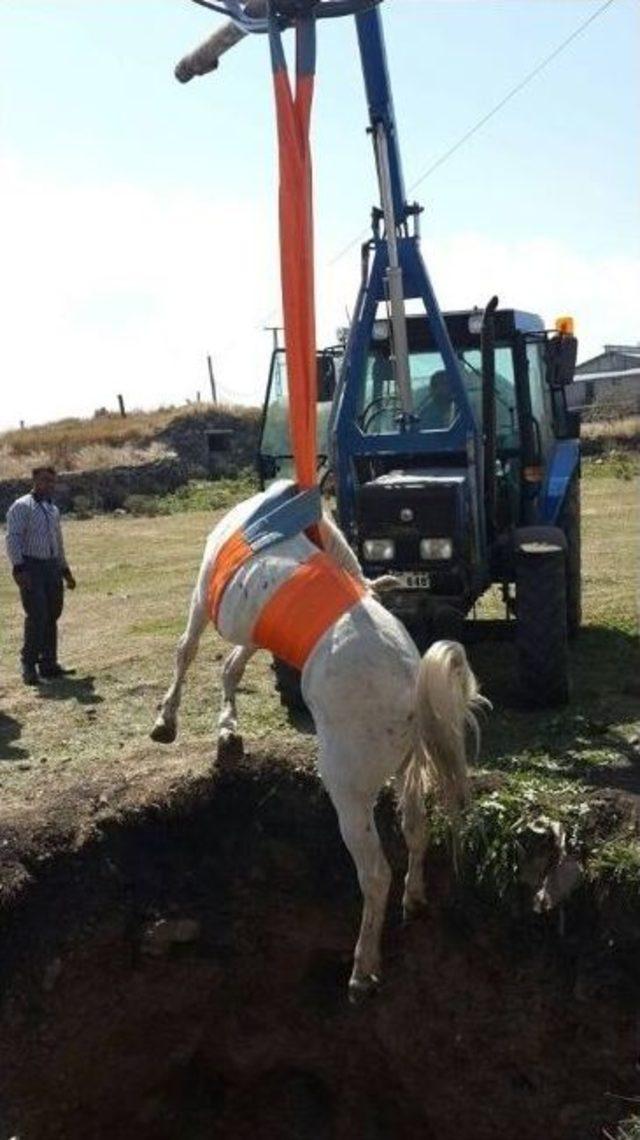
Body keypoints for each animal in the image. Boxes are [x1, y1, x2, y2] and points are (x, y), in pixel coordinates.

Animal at [150, 481, 488, 998]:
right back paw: (414, 899)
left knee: (375, 874)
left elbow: (186, 651)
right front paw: (227, 729)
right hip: (408, 770)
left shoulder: (204, 596)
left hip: (348, 792)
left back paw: (363, 969)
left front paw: (167, 720)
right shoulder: (256, 632)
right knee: (416, 829)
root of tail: (412, 690)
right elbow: (233, 665)